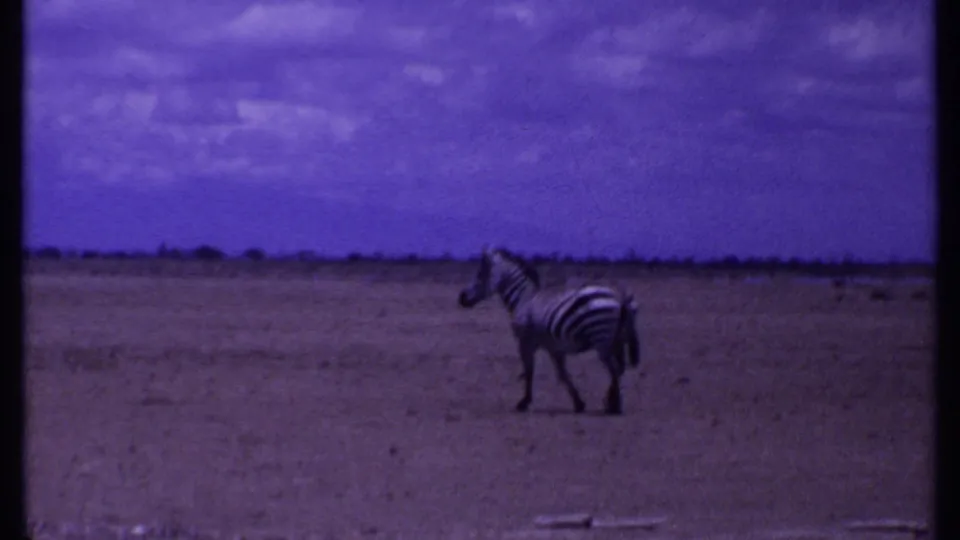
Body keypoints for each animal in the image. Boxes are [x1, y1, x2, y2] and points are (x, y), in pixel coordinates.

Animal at [457, 246, 641, 415]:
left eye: (480, 274)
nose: (462, 298)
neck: (523, 300)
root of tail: (619, 297)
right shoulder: (554, 347)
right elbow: (562, 374)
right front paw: (578, 403)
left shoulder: (525, 342)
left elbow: (529, 370)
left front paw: (524, 402)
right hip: (617, 340)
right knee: (619, 369)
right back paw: (611, 402)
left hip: (602, 339)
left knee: (614, 369)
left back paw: (614, 406)